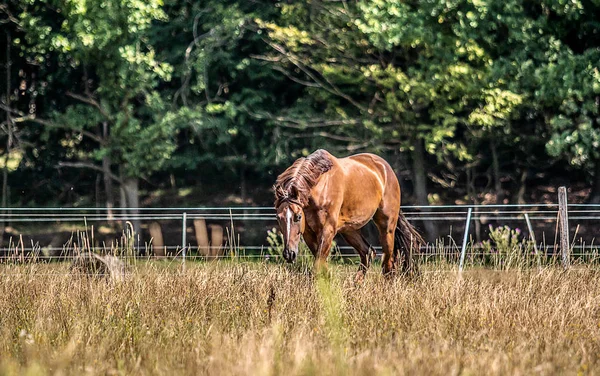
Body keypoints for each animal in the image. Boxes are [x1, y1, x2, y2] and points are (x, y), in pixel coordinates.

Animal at [274, 148, 424, 278]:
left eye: (298, 216)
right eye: (278, 218)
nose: (289, 254)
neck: (321, 186)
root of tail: (386, 169)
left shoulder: (327, 230)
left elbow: (317, 266)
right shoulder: (309, 234)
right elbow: (322, 266)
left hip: (386, 227)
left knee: (388, 262)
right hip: (349, 229)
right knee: (368, 252)